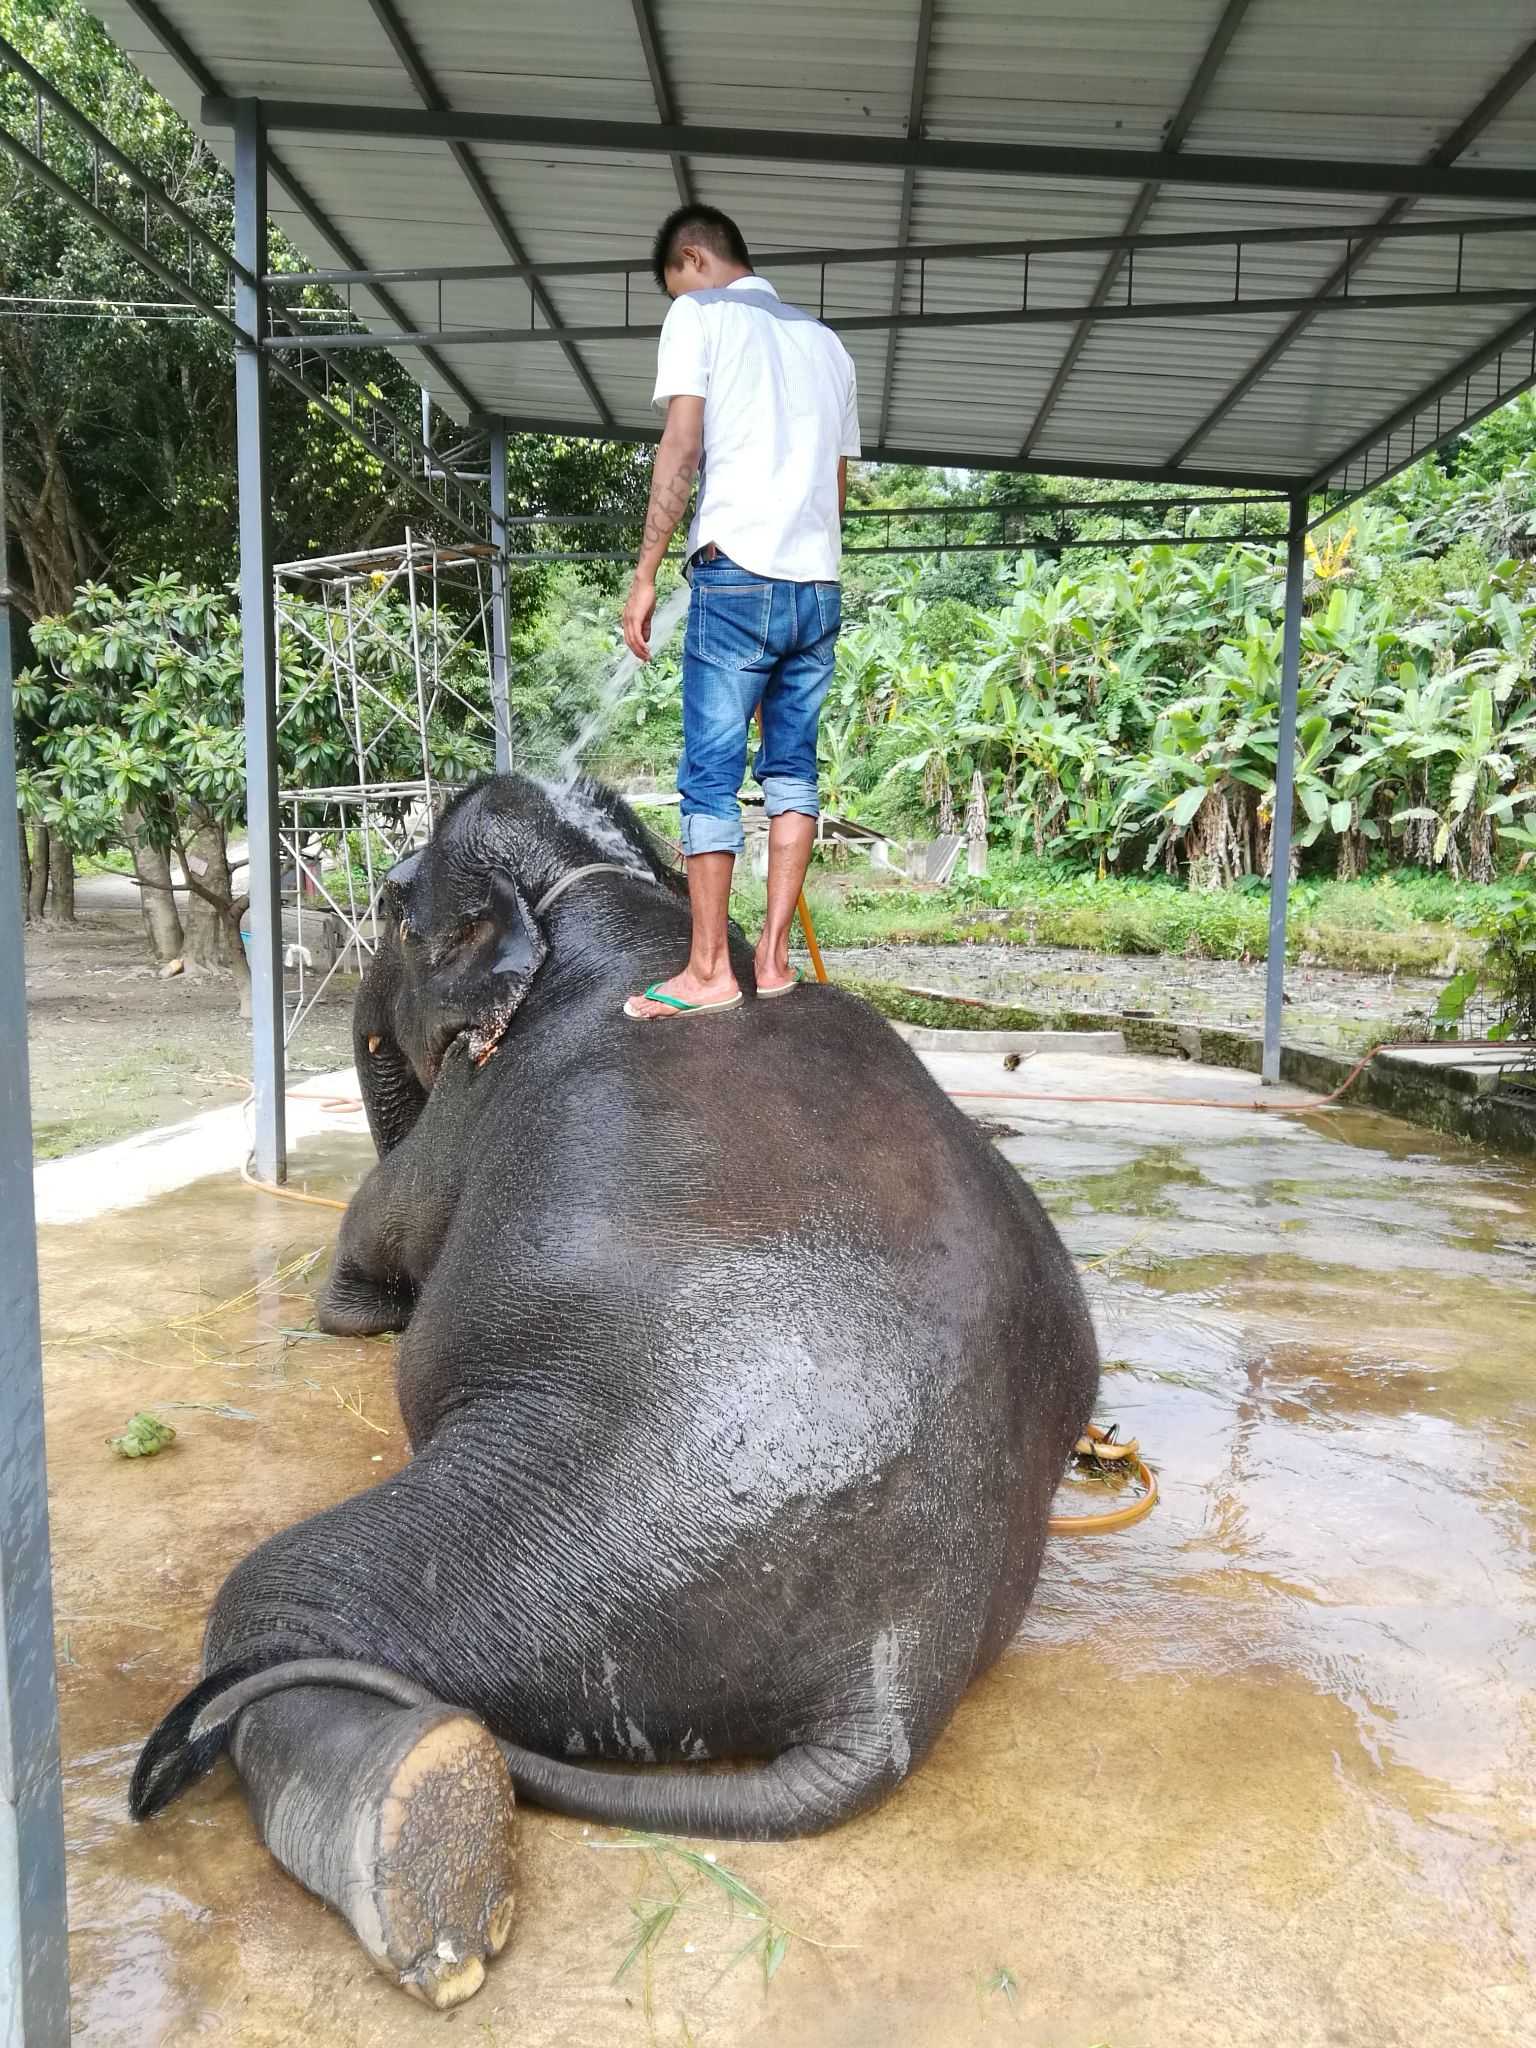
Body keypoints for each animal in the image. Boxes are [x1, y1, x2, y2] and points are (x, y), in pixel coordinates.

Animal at [129, 774, 1097, 2007]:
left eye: (392, 903)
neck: (601, 883)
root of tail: (908, 1662)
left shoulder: (465, 1111)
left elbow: (383, 1218)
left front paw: (350, 1310)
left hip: (573, 1539)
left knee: (284, 1601)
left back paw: (427, 1849)